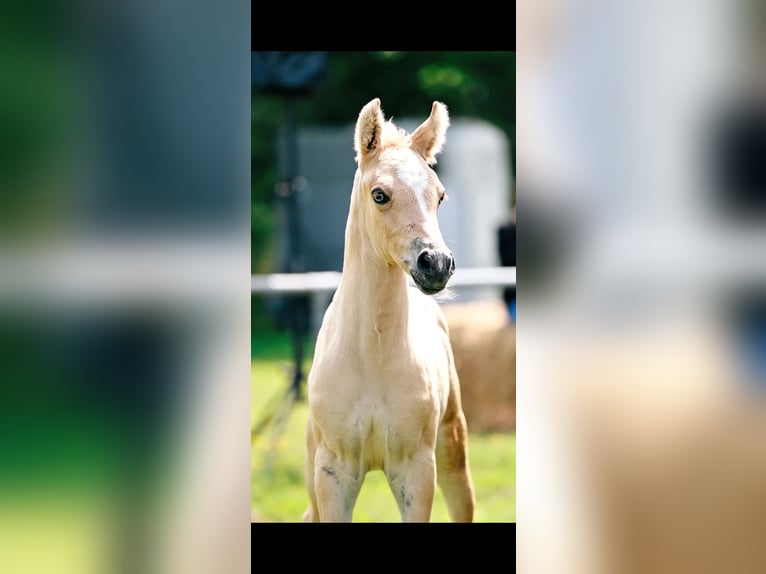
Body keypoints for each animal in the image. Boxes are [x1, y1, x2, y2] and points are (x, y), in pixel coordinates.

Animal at [302, 98, 476, 522]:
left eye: (440, 196)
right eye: (380, 195)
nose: (436, 264)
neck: (371, 354)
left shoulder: (416, 469)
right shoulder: (333, 473)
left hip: (453, 452)